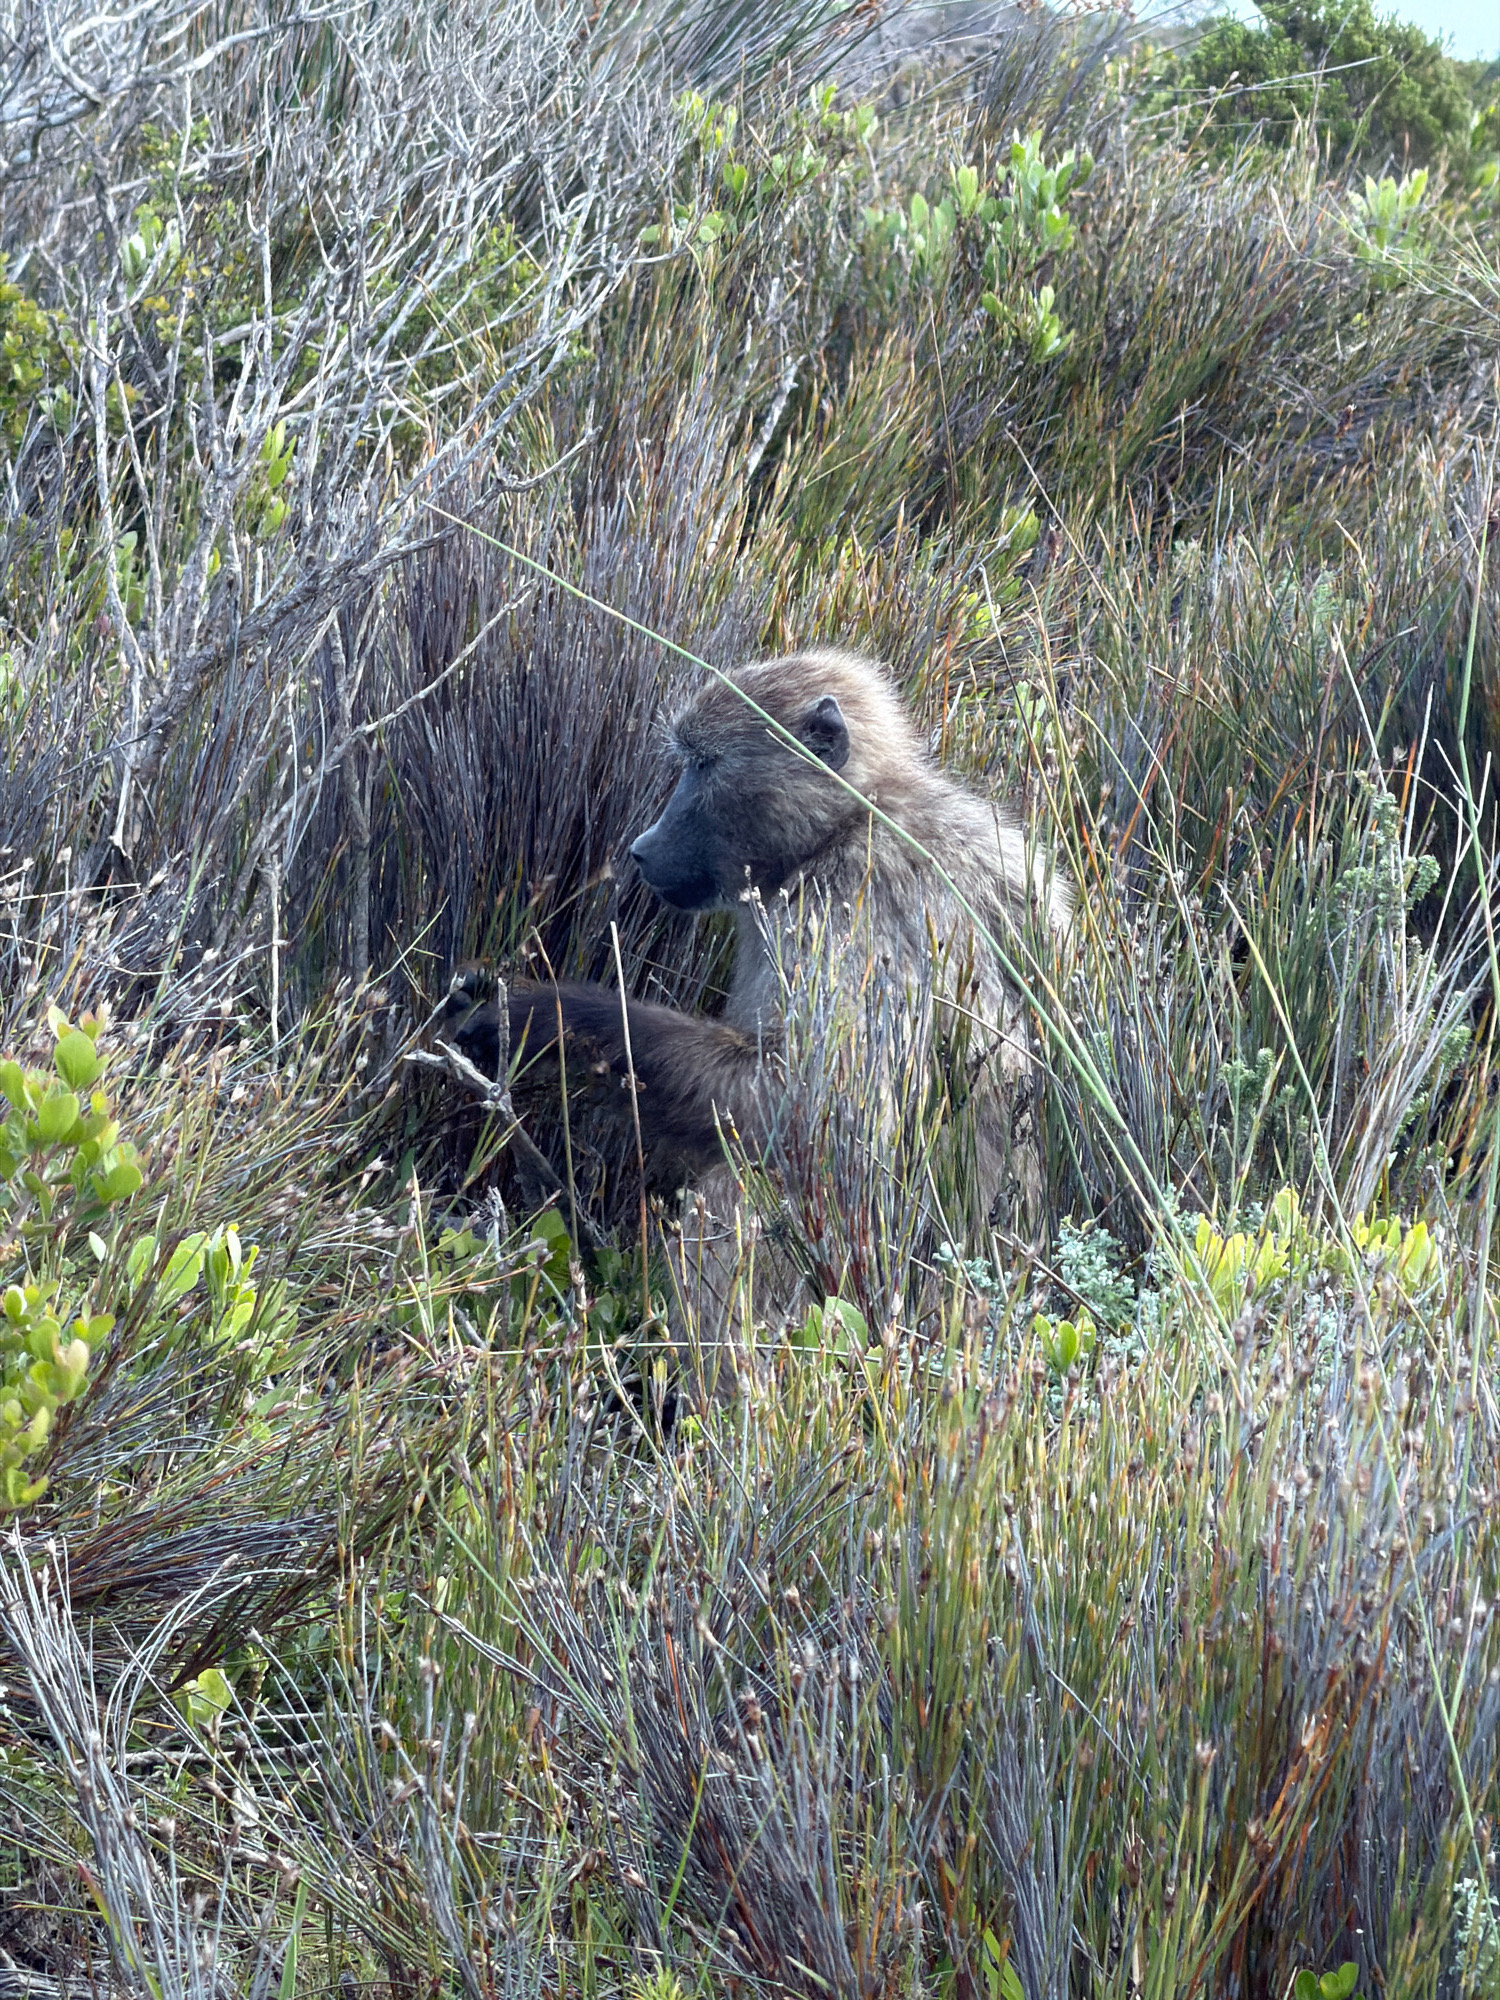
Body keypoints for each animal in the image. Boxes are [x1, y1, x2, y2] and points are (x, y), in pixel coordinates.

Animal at [447, 648, 1072, 1332]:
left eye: (703, 764)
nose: (641, 849)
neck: (855, 818)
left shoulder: (848, 907)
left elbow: (812, 1107)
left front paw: (539, 1015)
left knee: (741, 1189)